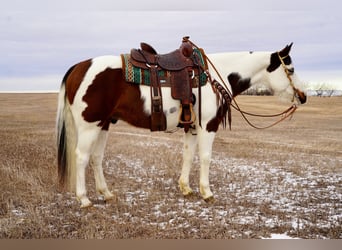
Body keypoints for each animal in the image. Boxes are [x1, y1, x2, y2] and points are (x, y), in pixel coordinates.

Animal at [56, 38, 308, 208]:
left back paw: (106, 194)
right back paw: (84, 199)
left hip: (104, 124)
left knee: (96, 158)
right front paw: (206, 192)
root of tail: (78, 67)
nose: (304, 96)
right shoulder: (208, 125)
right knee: (82, 158)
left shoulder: (192, 128)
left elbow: (188, 155)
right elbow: (205, 157)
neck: (217, 73)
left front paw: (186, 188)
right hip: (89, 126)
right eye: (291, 69)